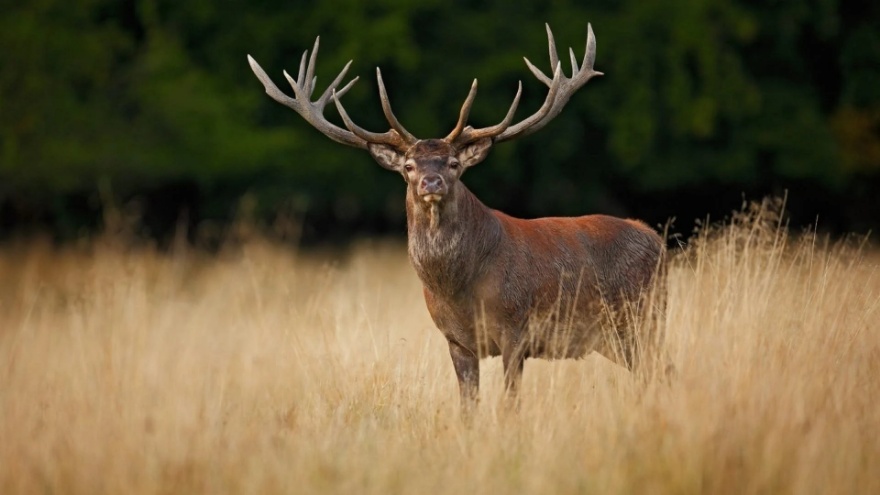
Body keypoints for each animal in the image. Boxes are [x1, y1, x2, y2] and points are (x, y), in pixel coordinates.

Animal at [251, 24, 664, 418]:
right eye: (408, 166)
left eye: (453, 163)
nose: (431, 182)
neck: (460, 289)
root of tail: (656, 239)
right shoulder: (455, 340)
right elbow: (468, 407)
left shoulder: (516, 329)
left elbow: (510, 405)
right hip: (616, 336)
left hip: (641, 319)